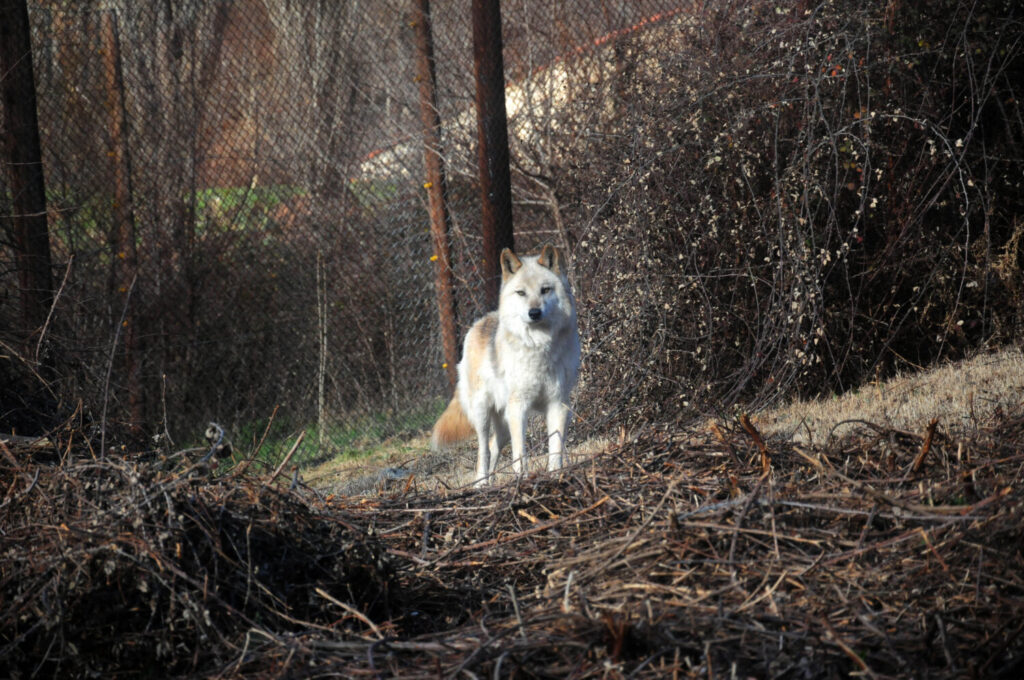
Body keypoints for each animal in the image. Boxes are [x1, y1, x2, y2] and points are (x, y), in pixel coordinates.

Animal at [428, 244, 581, 483]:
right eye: (521, 293)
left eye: (545, 290)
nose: (534, 312)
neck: (539, 346)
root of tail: (479, 322)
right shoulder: (519, 408)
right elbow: (521, 455)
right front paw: (522, 480)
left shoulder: (558, 405)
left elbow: (555, 450)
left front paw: (556, 477)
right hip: (484, 414)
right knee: (483, 450)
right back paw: (480, 484)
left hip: (505, 422)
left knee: (493, 445)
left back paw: (491, 482)